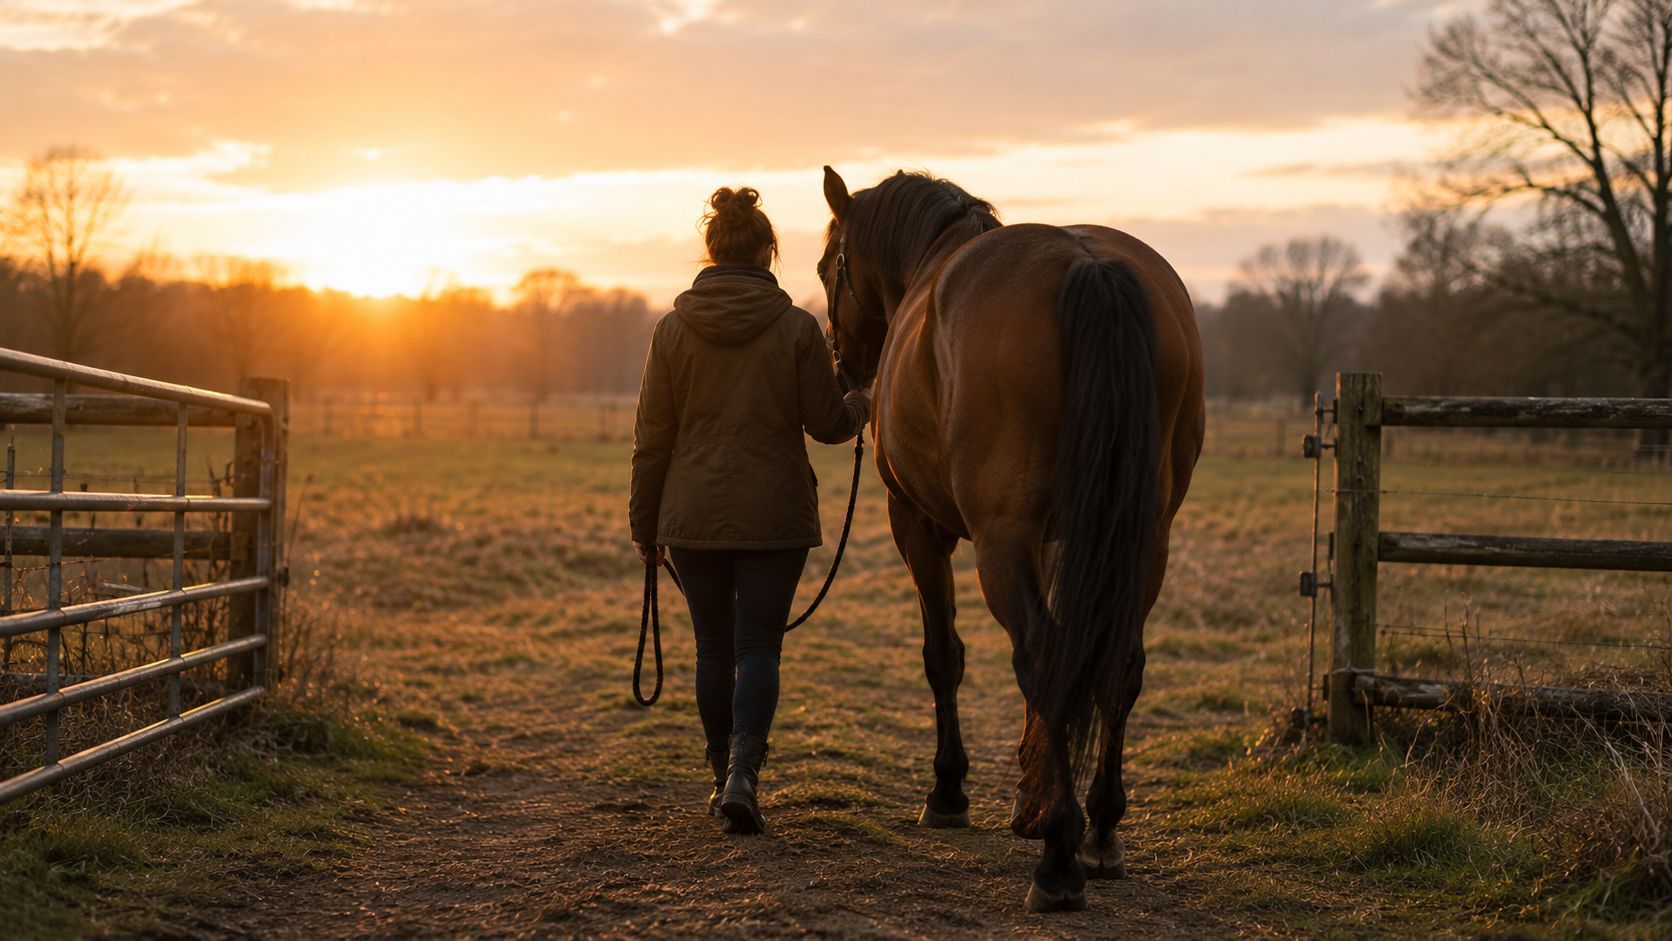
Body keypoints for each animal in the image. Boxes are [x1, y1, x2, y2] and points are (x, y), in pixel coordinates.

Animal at [817, 167, 1204, 912]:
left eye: (828, 268)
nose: (843, 369)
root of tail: (1090, 265)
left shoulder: (918, 524)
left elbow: (944, 656)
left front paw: (950, 791)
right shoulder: (1062, 538)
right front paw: (1031, 800)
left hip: (999, 539)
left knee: (1043, 656)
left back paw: (1058, 861)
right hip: (1145, 537)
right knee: (1116, 662)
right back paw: (1099, 830)